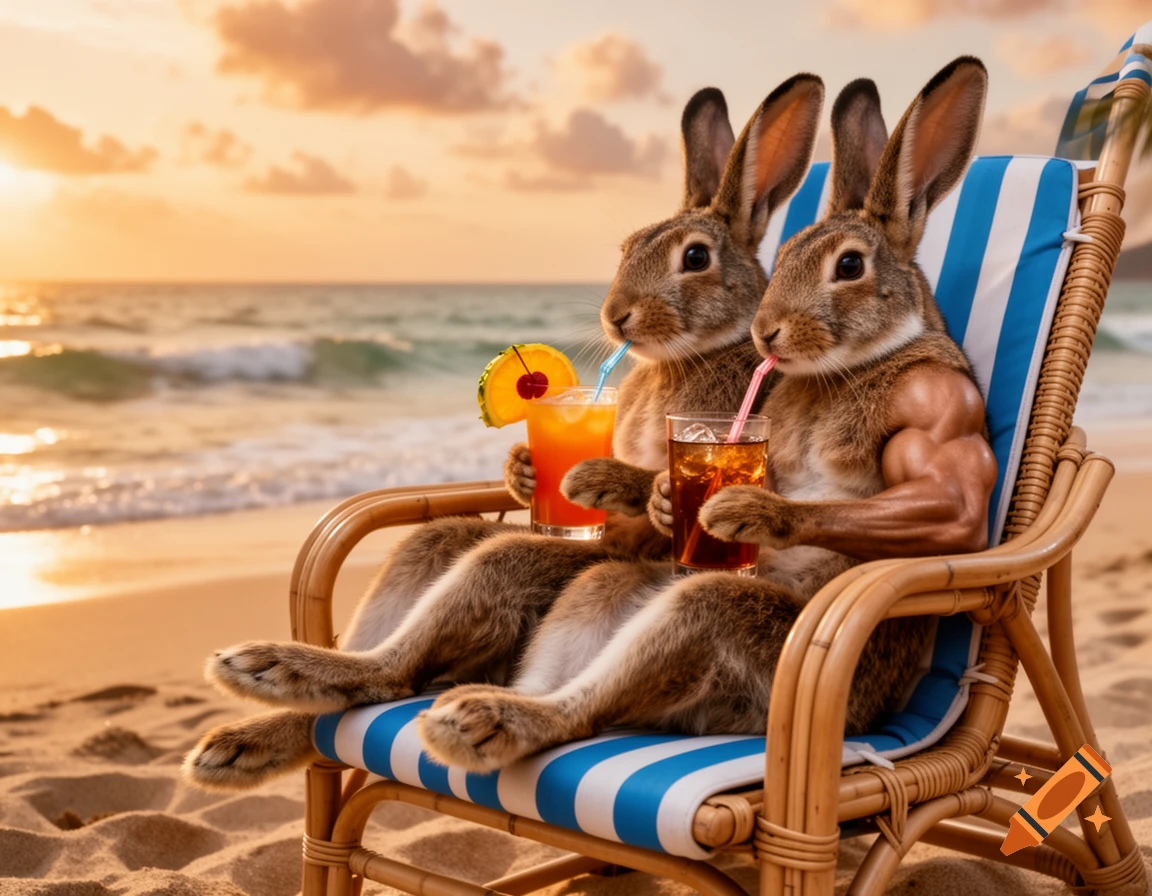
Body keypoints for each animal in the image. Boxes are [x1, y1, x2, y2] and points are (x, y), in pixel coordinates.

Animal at [183, 74, 826, 790]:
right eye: (628, 248)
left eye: (695, 257)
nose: (616, 316)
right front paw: (522, 467)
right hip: (446, 563)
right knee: (402, 643)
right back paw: (244, 739)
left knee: (405, 669)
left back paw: (272, 672)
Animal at [418, 59, 999, 774]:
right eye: (627, 247)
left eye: (850, 267)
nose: (616, 316)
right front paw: (546, 474)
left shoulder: (937, 404)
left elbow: (952, 508)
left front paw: (738, 508)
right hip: (609, 592)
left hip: (739, 628)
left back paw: (485, 719)